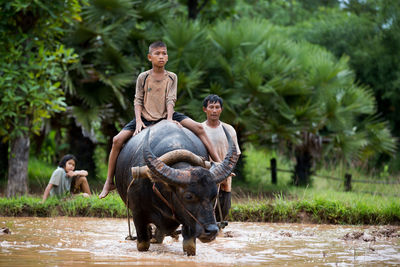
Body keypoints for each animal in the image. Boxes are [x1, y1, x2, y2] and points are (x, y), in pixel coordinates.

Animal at [114, 120, 238, 256]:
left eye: (214, 195)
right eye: (188, 196)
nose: (211, 231)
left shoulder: (188, 221)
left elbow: (189, 247)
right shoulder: (138, 214)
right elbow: (143, 244)